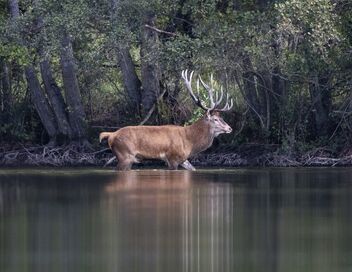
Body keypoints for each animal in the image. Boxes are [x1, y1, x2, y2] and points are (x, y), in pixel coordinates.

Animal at [99, 69, 234, 170]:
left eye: (221, 117)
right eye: (215, 119)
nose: (230, 128)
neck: (190, 141)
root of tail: (111, 135)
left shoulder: (183, 159)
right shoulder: (172, 157)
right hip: (125, 155)